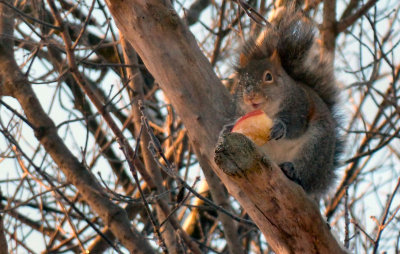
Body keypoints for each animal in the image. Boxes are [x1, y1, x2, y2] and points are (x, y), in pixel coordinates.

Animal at [233, 8, 346, 200]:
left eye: (268, 76)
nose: (250, 95)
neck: (269, 111)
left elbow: (295, 125)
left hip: (316, 147)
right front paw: (228, 127)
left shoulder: (300, 105)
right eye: (240, 82)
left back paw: (292, 170)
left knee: (305, 173)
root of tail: (324, 177)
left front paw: (280, 127)